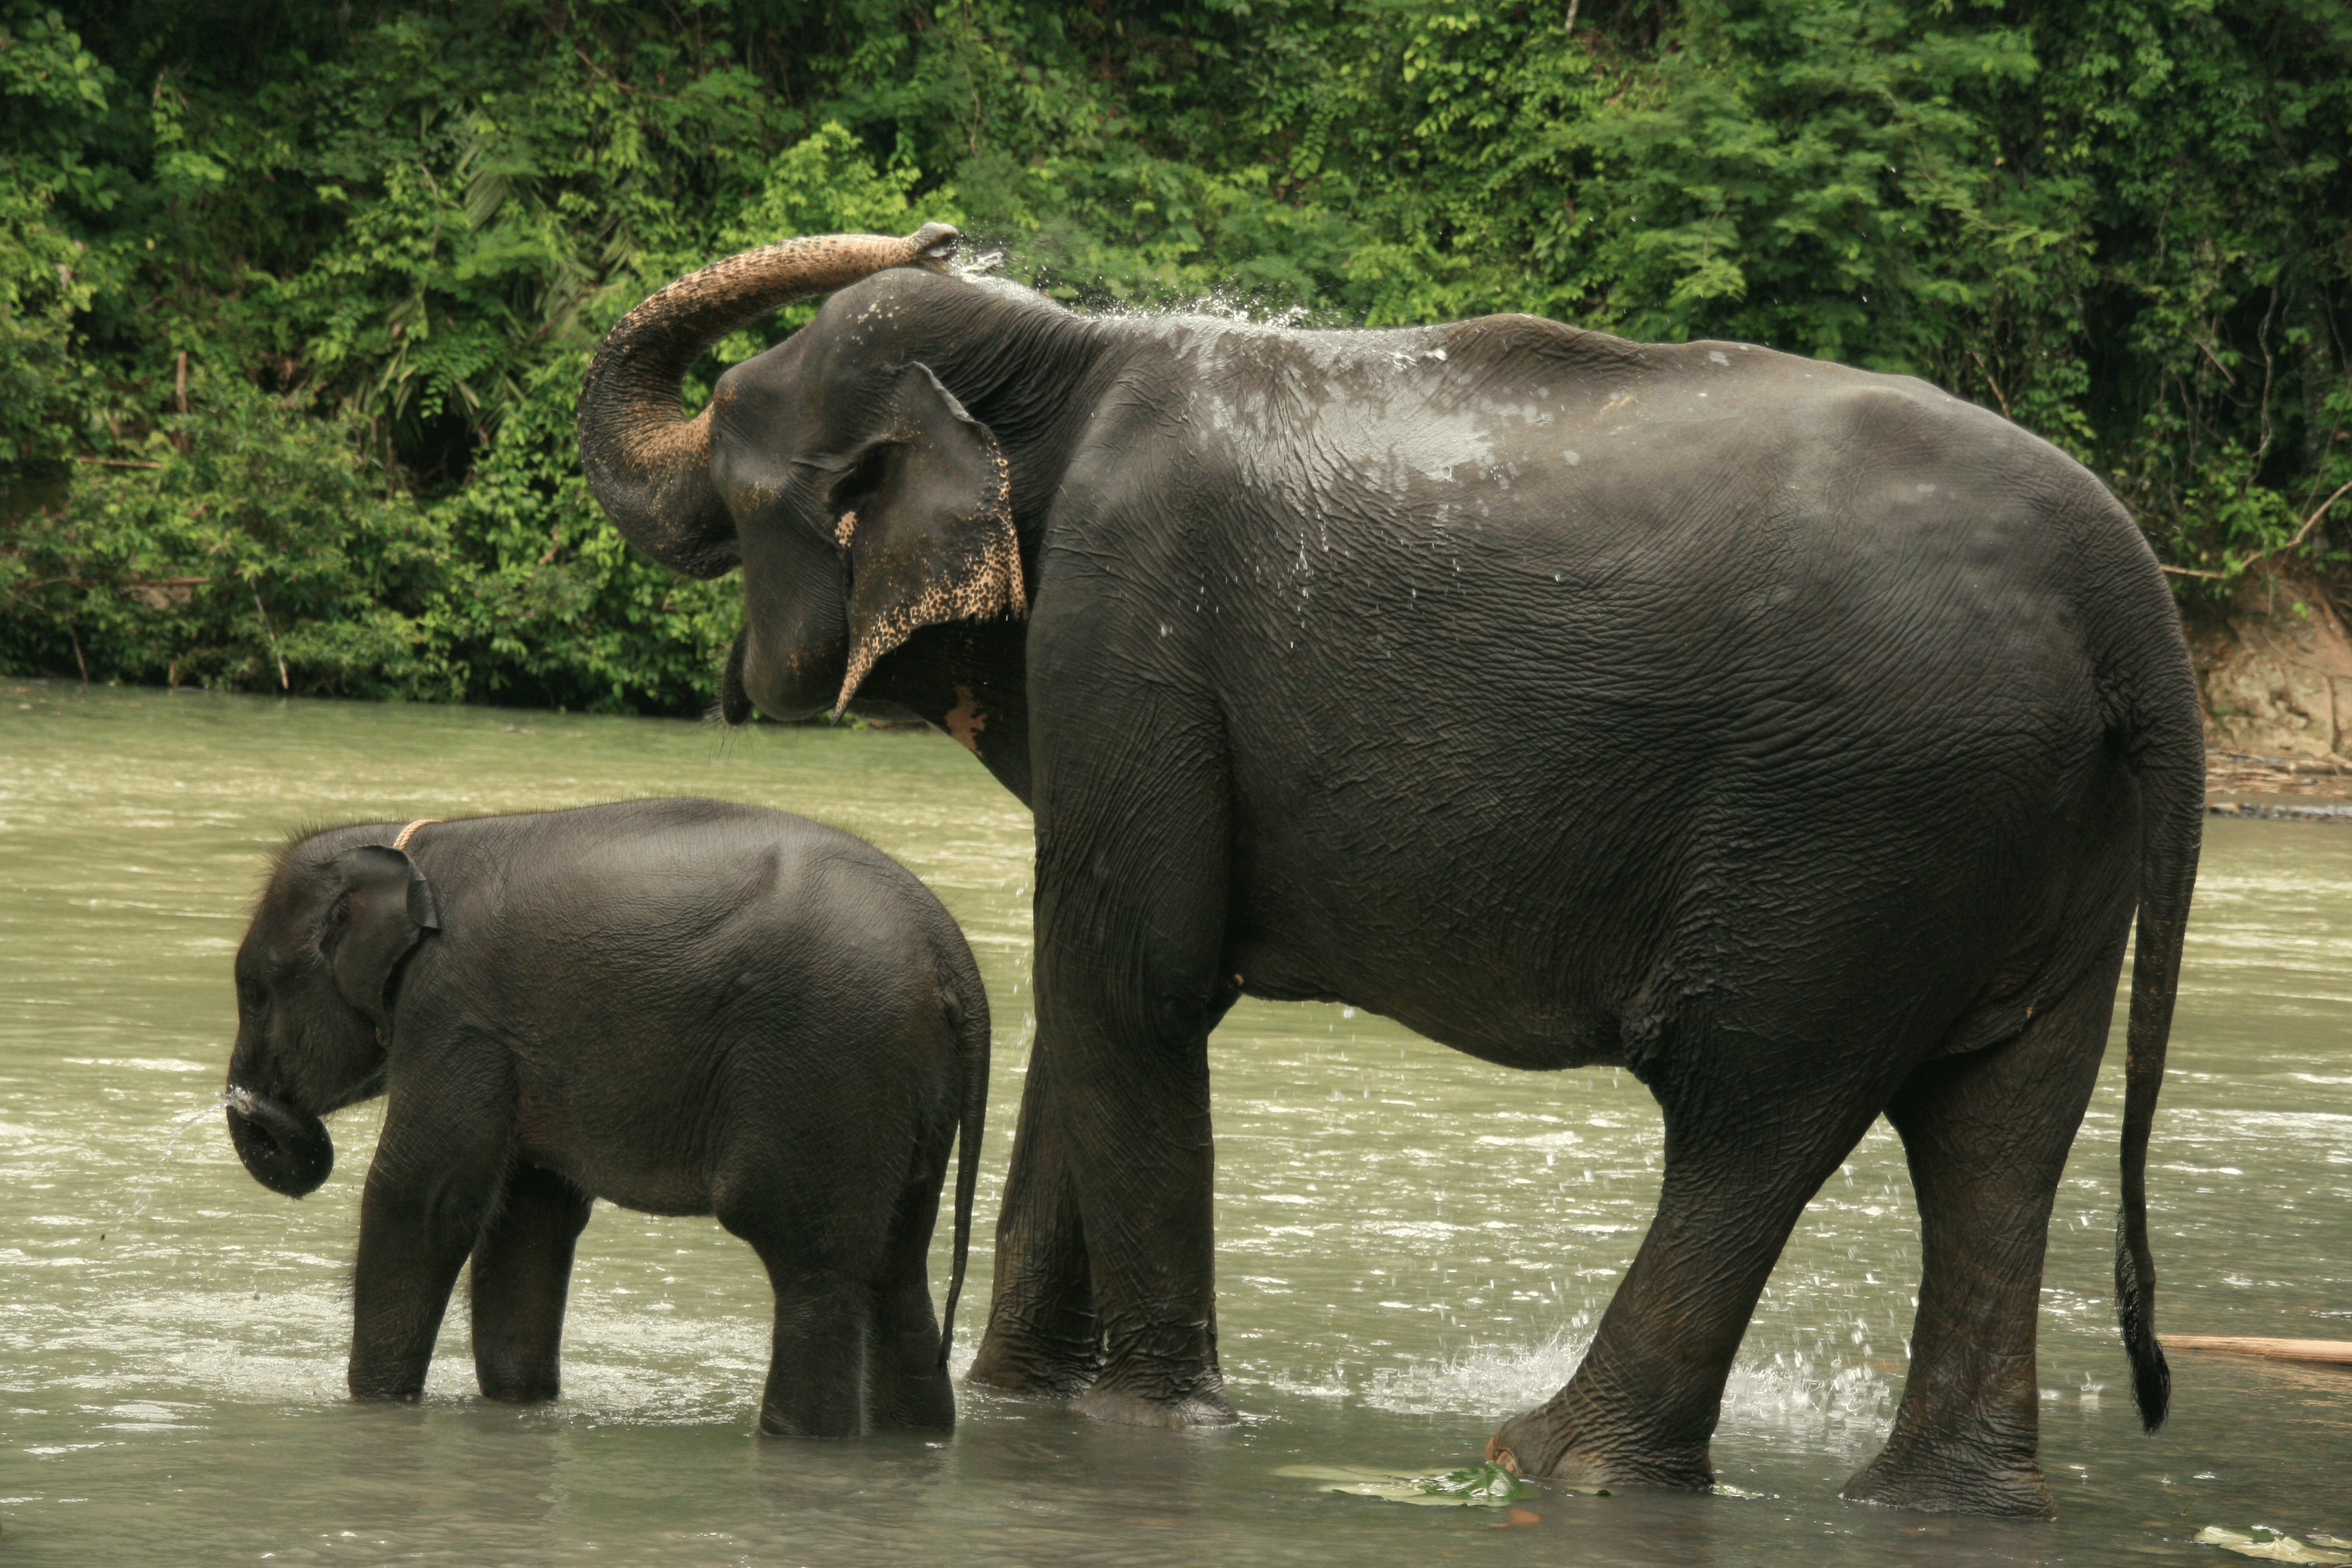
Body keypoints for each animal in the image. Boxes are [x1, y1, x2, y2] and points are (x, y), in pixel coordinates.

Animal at [221, 799, 983, 1439]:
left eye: (253, 992)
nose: (254, 1104)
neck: (416, 848)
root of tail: (952, 958)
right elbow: (530, 1219)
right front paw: (519, 1404)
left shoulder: (456, 1012)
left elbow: (423, 1199)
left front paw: (374, 1405)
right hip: (908, 1093)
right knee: (898, 1271)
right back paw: (916, 1439)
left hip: (829, 1067)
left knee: (812, 1263)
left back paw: (799, 1439)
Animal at [578, 227, 2192, 1514]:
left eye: (730, 433)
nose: (939, 230)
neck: (1064, 357)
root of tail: (2131, 591)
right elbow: (1088, 997)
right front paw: (1014, 1409)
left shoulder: (1124, 619)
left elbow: (1133, 985)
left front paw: (1146, 1431)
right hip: (2030, 824)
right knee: (1996, 1125)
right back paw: (1934, 1503)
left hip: (1855, 817)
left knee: (1759, 1105)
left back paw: (1548, 1463)